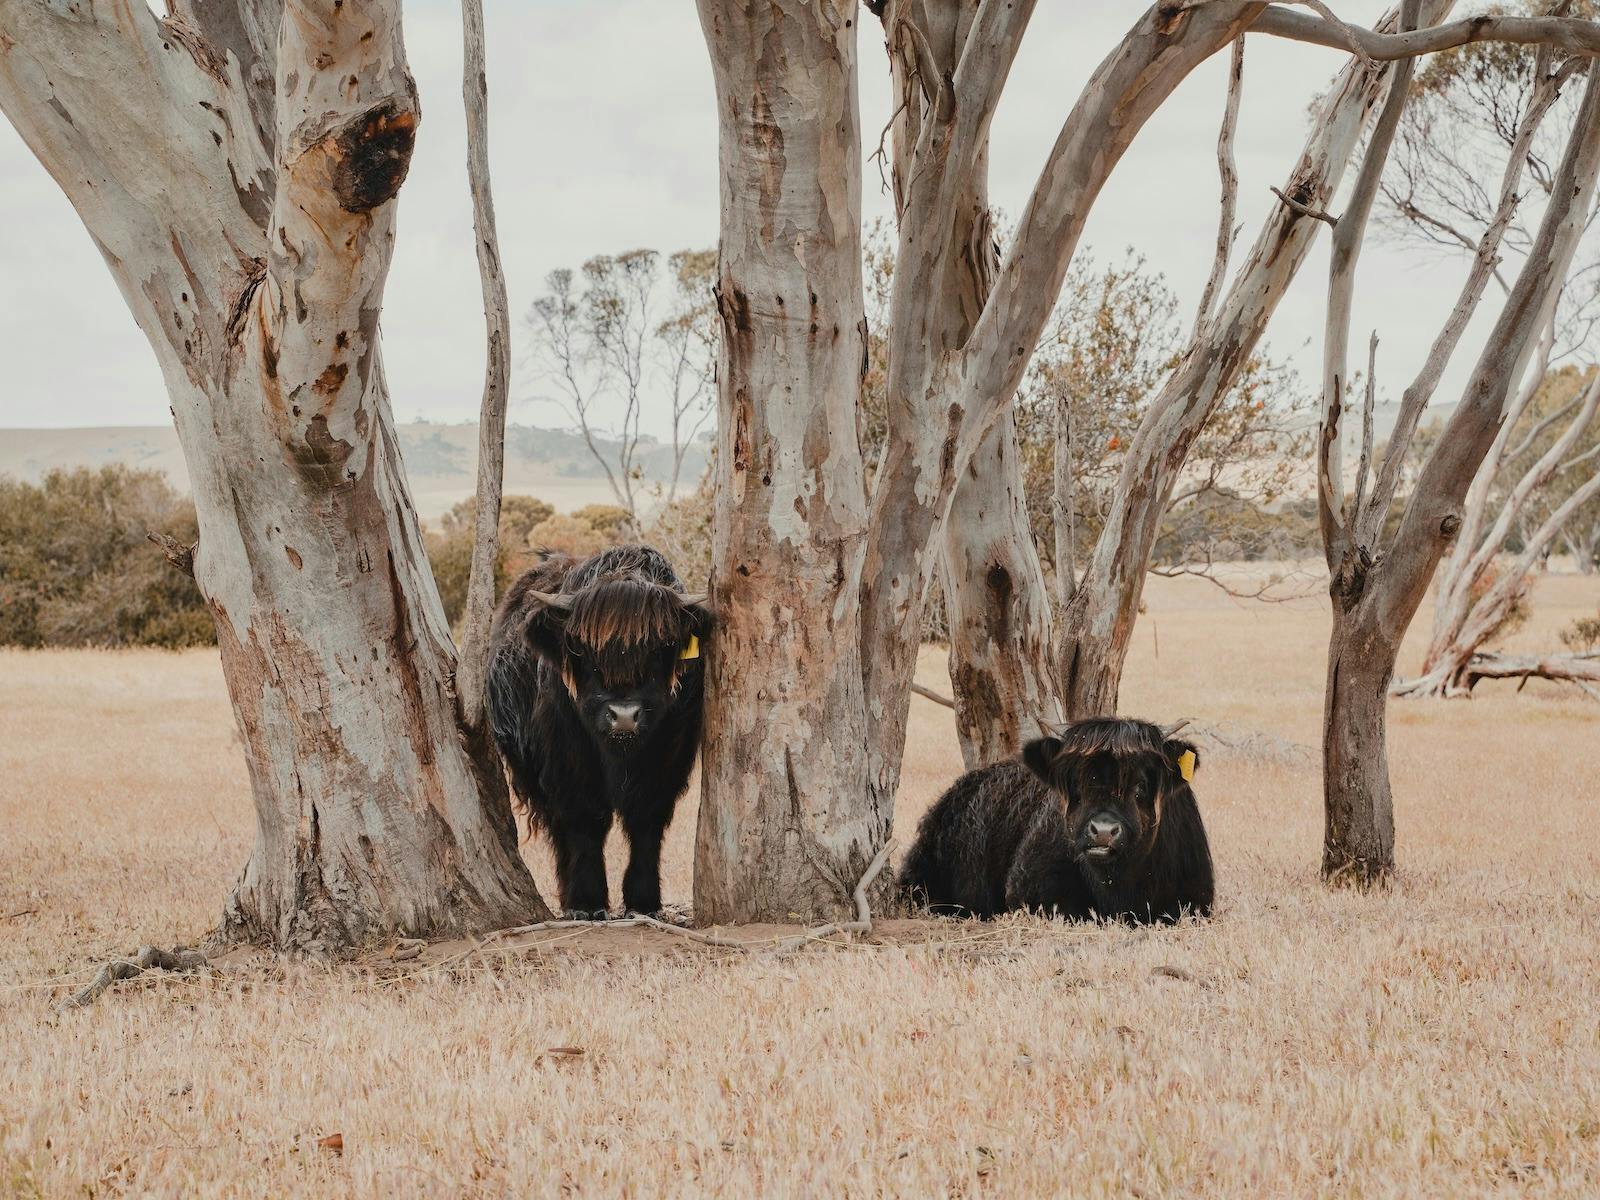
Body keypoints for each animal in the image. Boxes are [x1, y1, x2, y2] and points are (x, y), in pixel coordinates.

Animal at [485, 544, 711, 918]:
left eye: (659, 647)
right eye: (583, 649)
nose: (624, 717)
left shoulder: (668, 758)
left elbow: (645, 821)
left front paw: (643, 902)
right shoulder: (569, 760)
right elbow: (586, 821)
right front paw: (587, 903)